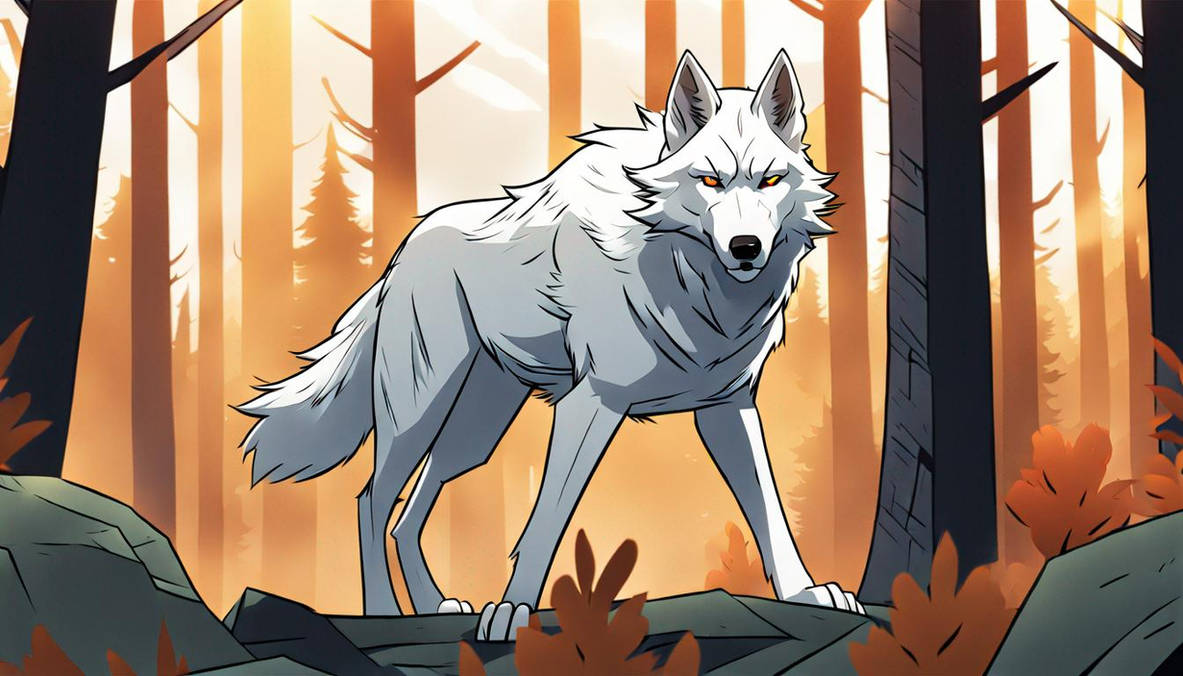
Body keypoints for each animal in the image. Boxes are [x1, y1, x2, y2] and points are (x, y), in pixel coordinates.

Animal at [237, 49, 865, 641]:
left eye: (770, 181)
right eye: (709, 181)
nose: (745, 246)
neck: (685, 280)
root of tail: (403, 248)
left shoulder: (727, 408)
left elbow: (770, 513)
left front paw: (809, 594)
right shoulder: (591, 405)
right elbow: (545, 519)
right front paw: (513, 612)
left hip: (473, 435)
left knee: (406, 515)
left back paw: (436, 606)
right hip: (418, 413)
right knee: (372, 500)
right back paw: (386, 612)